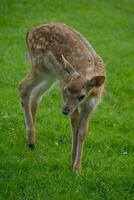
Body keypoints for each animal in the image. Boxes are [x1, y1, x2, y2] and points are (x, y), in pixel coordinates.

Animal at [18, 22, 105, 173]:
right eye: (66, 90)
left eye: (82, 96)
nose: (64, 110)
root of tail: (30, 31)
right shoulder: (63, 83)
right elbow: (74, 122)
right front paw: (72, 161)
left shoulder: (92, 103)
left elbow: (83, 131)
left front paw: (77, 168)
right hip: (39, 66)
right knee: (22, 87)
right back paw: (31, 140)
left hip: (50, 75)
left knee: (35, 94)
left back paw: (32, 139)